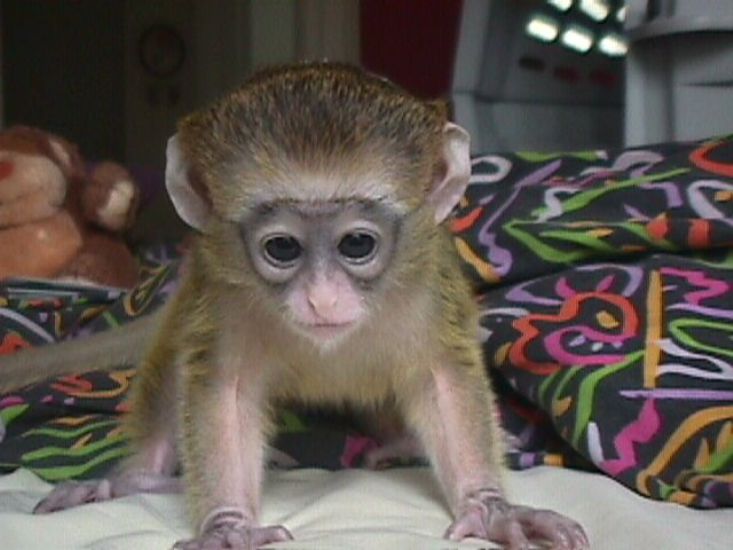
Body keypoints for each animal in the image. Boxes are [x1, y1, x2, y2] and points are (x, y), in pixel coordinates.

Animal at [0, 63, 589, 550]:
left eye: (358, 244)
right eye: (282, 248)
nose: (322, 297)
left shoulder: (426, 283)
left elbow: (444, 380)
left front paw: (492, 510)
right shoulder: (224, 294)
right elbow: (225, 392)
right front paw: (228, 527)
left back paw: (400, 442)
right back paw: (133, 479)